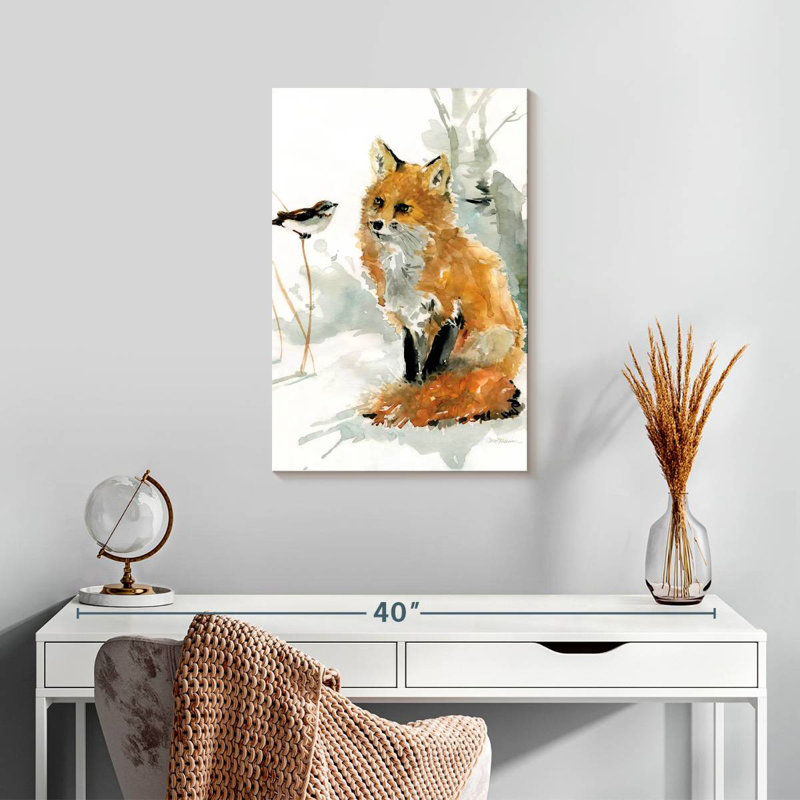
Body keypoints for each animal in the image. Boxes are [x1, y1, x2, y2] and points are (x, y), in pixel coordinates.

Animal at [359, 139, 525, 428]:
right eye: (379, 201)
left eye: (403, 208)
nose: (376, 224)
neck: (405, 268)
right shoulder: (411, 322)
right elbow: (413, 367)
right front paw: (412, 391)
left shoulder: (450, 313)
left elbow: (433, 369)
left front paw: (423, 398)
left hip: (491, 340)